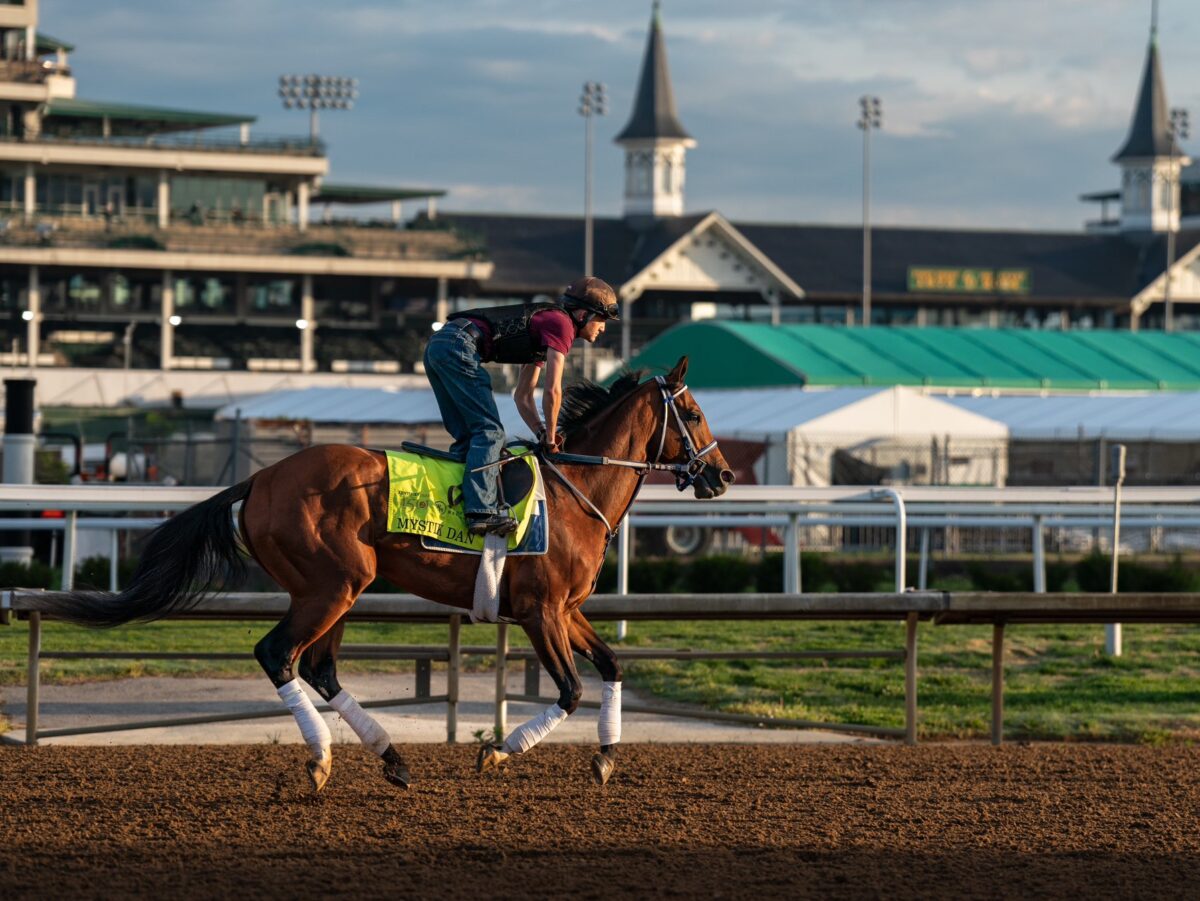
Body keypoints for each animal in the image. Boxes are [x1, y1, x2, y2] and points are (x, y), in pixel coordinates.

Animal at [35, 355, 729, 791]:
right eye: (694, 414)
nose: (722, 476)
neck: (572, 491)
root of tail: (260, 477)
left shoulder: (568, 610)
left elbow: (610, 666)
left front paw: (607, 759)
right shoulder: (540, 612)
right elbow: (570, 690)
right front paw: (496, 753)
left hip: (332, 591)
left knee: (317, 666)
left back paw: (391, 759)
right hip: (332, 585)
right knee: (278, 654)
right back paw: (322, 761)